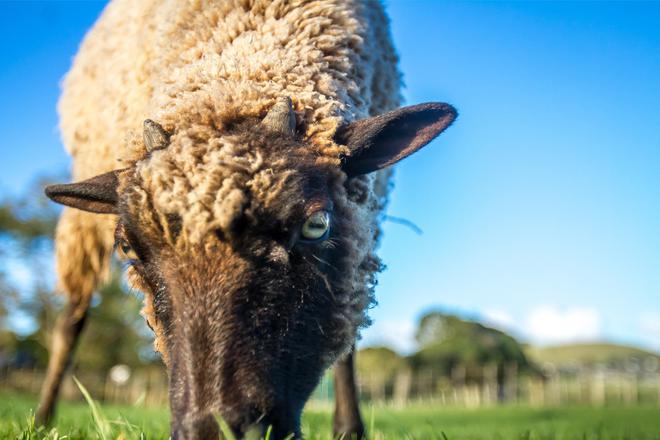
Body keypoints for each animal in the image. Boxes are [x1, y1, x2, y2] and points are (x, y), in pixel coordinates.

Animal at [38, 1, 456, 438]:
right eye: (126, 247)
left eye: (316, 225)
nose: (214, 431)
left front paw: (348, 429)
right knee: (71, 320)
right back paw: (42, 418)